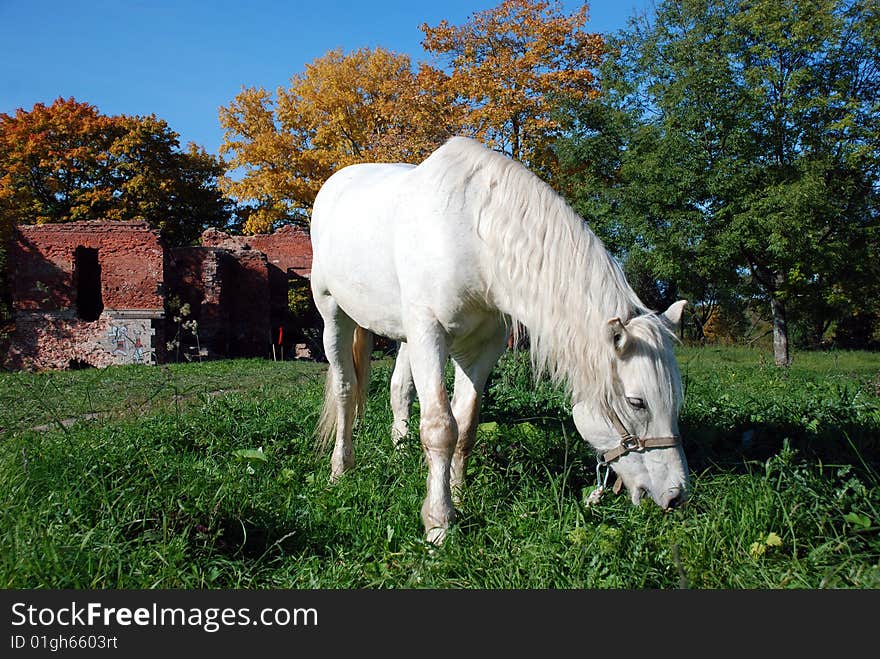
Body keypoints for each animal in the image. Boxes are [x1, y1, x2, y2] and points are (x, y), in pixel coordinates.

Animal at [310, 137, 688, 544]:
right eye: (637, 403)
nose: (676, 495)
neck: (474, 237)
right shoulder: (430, 333)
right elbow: (440, 428)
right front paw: (438, 523)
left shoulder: (481, 347)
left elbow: (464, 427)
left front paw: (458, 496)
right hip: (334, 314)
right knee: (346, 390)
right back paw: (340, 469)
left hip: (406, 336)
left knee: (399, 390)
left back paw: (399, 453)